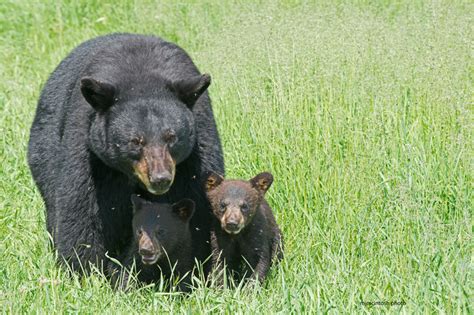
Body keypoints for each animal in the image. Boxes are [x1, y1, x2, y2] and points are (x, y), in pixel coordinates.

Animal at [27, 34, 224, 274]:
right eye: (136, 141)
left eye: (172, 137)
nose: (160, 179)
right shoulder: (91, 155)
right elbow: (82, 208)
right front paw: (84, 270)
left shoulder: (195, 156)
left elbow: (191, 209)